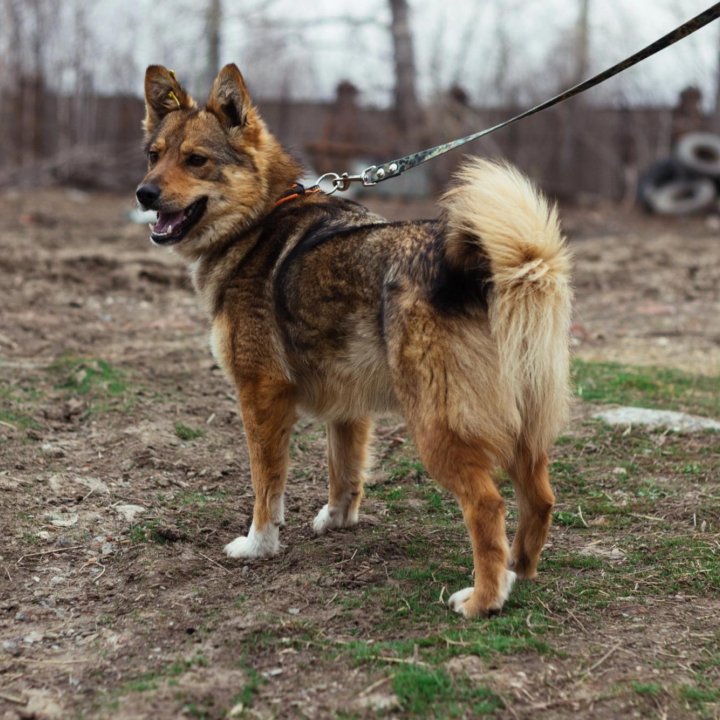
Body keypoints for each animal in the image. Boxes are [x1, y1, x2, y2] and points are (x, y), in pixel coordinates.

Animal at [138, 63, 572, 620]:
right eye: (155, 155)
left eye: (196, 160)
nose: (143, 195)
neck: (260, 218)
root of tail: (484, 269)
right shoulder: (346, 403)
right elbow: (343, 468)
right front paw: (338, 518)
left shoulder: (261, 394)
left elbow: (266, 484)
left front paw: (258, 544)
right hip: (524, 426)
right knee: (540, 498)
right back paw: (520, 571)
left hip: (437, 427)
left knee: (487, 505)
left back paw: (484, 598)